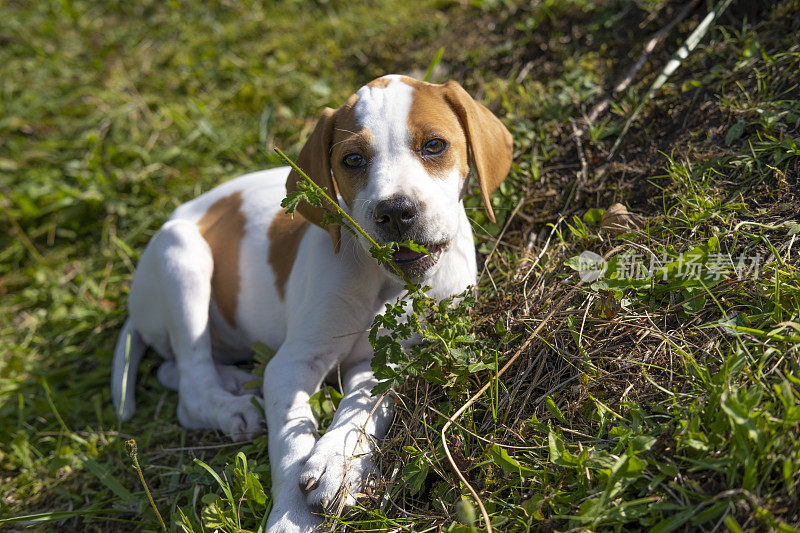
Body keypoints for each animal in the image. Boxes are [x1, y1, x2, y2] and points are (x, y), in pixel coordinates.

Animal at [111, 74, 512, 528]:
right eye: (352, 160)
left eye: (434, 145)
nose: (395, 211)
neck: (384, 284)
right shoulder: (295, 361)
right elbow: (291, 441)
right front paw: (291, 517)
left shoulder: (387, 362)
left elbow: (362, 409)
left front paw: (339, 466)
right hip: (181, 253)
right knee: (191, 388)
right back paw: (232, 407)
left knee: (172, 370)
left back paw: (238, 380)